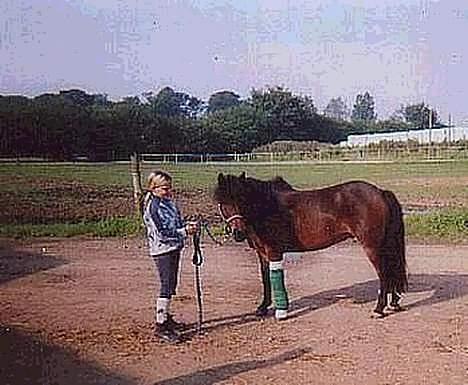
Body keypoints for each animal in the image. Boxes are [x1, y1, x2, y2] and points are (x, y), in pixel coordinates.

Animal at [215, 172, 406, 316]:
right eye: (223, 203)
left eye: (241, 200)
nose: (238, 234)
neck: (267, 207)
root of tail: (380, 192)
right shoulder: (262, 253)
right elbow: (265, 279)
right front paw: (262, 308)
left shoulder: (274, 252)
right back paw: (394, 303)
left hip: (372, 247)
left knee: (384, 274)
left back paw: (379, 309)